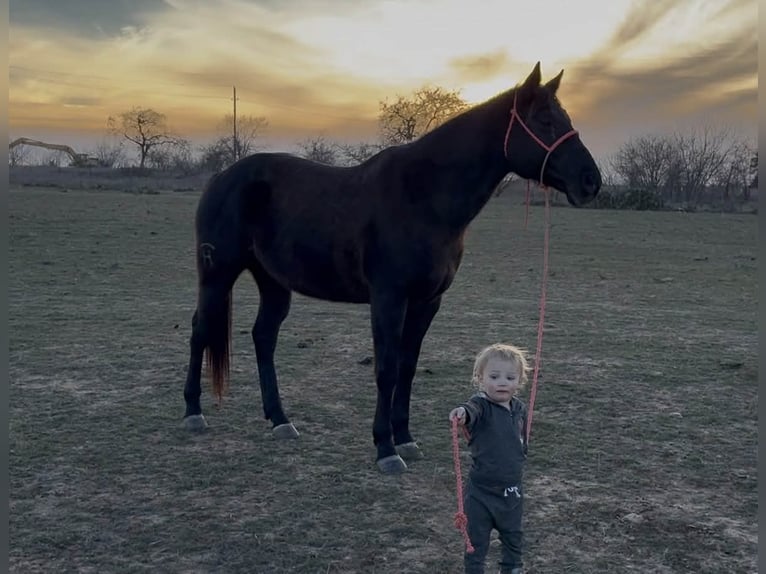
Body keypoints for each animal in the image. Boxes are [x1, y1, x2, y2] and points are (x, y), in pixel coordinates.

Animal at [182, 62, 602, 474]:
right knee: (201, 330)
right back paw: (193, 413)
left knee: (263, 337)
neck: (423, 197)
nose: (591, 181)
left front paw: (406, 439)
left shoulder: (426, 302)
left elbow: (407, 367)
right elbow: (385, 369)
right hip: (217, 274)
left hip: (273, 281)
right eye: (545, 120)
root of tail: (222, 177)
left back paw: (280, 420)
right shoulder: (389, 298)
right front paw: (385, 448)